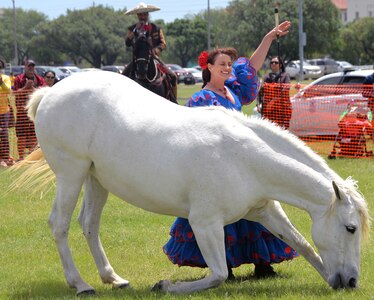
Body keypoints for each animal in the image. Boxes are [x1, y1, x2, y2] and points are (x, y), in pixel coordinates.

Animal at [21, 72, 370, 296]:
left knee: (89, 224)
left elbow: (304, 246)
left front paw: (329, 276)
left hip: (96, 180)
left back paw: (113, 278)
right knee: (60, 224)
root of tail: (50, 92)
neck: (246, 157)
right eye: (351, 228)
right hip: (71, 174)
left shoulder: (266, 211)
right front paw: (166, 286)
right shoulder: (204, 224)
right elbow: (217, 274)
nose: (353, 281)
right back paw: (80, 284)